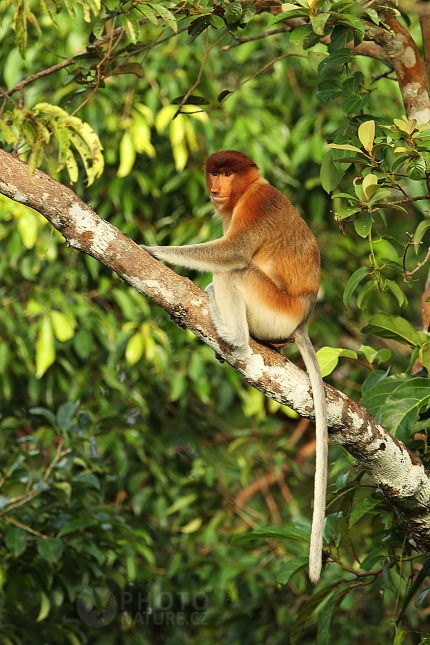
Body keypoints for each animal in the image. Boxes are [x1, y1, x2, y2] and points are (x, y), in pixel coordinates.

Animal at [143, 150, 328, 584]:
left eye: (228, 173)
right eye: (214, 173)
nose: (217, 187)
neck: (246, 190)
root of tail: (301, 320)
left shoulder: (257, 206)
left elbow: (234, 251)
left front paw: (153, 248)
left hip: (274, 308)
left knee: (236, 271)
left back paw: (230, 331)